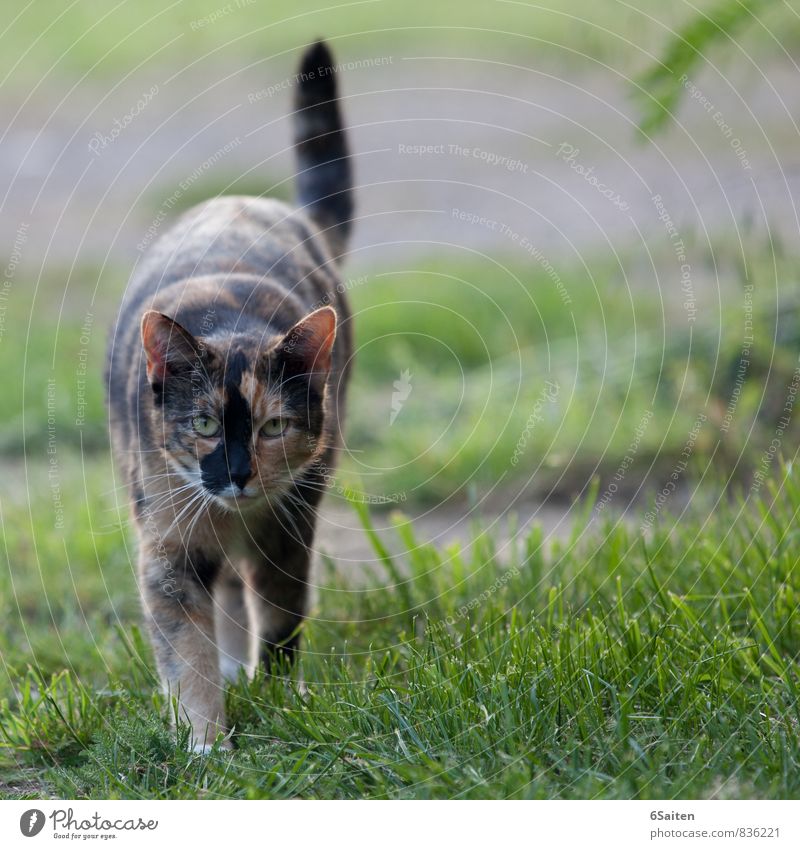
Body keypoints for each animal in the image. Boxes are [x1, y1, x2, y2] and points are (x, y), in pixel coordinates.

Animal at [105, 43, 354, 752]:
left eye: (273, 427)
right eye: (203, 423)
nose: (239, 473)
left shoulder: (288, 530)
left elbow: (280, 621)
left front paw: (278, 700)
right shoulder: (167, 552)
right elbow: (186, 652)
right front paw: (206, 742)